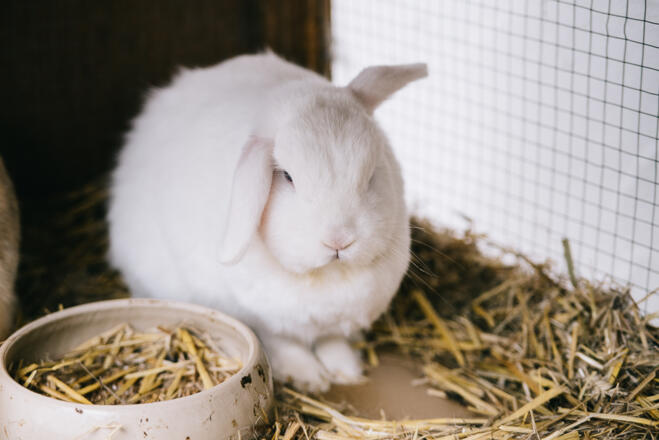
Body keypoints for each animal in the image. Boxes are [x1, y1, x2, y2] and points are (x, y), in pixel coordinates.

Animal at [108, 52, 427, 391]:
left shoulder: (337, 323)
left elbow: (332, 341)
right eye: (287, 176)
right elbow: (283, 343)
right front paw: (309, 379)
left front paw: (346, 372)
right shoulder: (264, 322)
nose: (339, 239)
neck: (325, 276)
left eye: (371, 174)